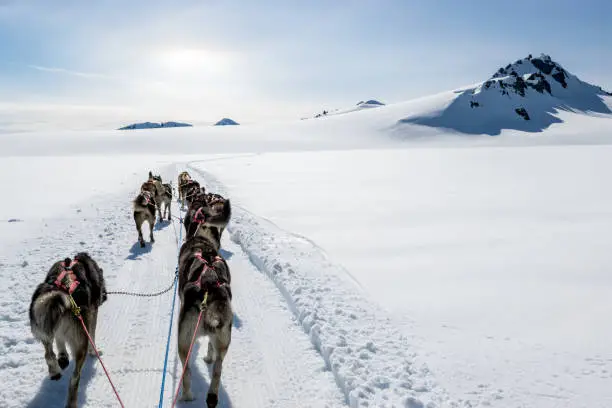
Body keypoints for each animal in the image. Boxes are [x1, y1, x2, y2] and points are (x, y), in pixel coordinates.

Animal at [29, 252, 107, 408]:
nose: (105, 296)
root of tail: (62, 291)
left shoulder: (56, 330)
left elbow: (60, 341)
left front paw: (63, 356)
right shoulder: (92, 316)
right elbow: (92, 337)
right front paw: (94, 352)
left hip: (45, 328)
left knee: (48, 354)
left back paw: (55, 371)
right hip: (81, 344)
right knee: (74, 378)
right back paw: (71, 402)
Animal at [179, 223, 234, 408]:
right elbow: (210, 346)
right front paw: (209, 357)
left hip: (184, 344)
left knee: (186, 372)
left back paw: (187, 396)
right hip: (223, 341)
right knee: (217, 369)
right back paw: (212, 396)